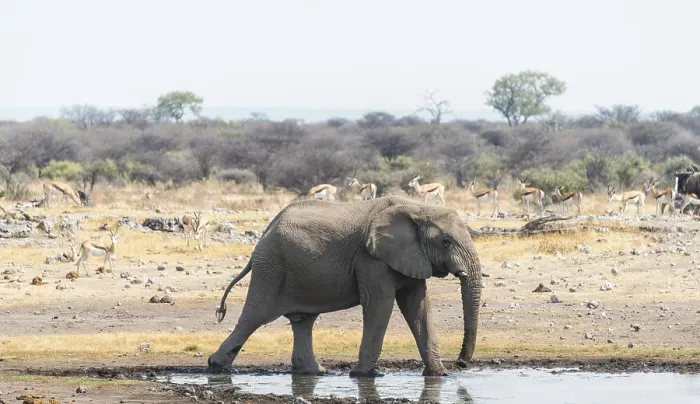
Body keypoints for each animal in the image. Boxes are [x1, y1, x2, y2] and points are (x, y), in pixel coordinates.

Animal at [207, 195, 483, 377]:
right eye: (446, 241)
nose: (461, 364)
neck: (418, 207)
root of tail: (265, 232)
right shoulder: (371, 258)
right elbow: (380, 304)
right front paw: (364, 375)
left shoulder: (412, 257)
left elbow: (418, 306)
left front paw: (439, 375)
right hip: (271, 267)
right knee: (255, 316)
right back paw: (216, 366)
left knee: (302, 320)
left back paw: (315, 372)